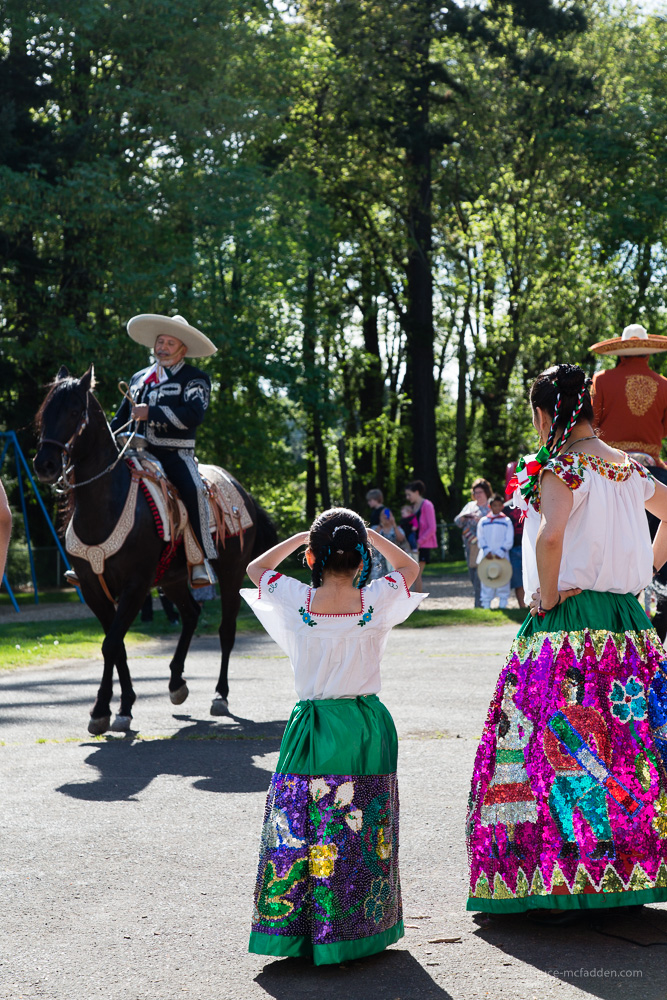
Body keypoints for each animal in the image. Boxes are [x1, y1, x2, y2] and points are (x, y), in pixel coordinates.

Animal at [35, 368, 276, 736]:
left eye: (75, 410)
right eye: (44, 411)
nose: (44, 464)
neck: (105, 506)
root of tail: (242, 491)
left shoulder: (135, 587)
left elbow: (110, 644)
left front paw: (102, 710)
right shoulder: (92, 587)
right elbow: (116, 644)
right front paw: (123, 707)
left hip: (231, 573)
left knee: (225, 629)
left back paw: (220, 695)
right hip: (173, 578)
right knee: (191, 614)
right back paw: (176, 683)